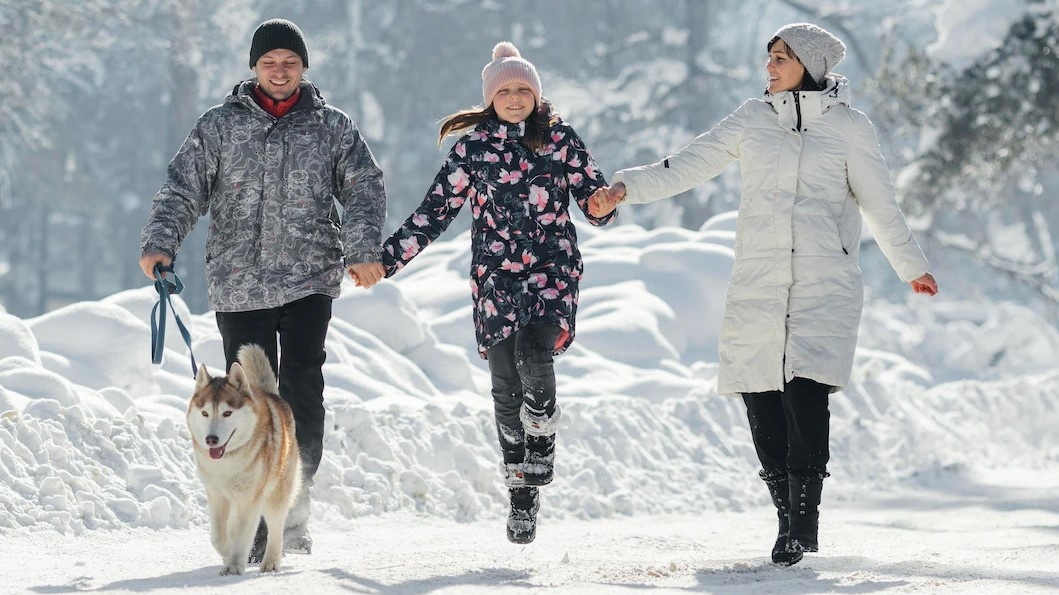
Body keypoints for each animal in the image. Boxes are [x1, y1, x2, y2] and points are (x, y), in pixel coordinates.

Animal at [186, 343, 300, 575]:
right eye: (205, 413)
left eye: (227, 413)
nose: (211, 439)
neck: (227, 463)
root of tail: (271, 395)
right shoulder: (216, 495)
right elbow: (218, 537)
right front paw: (228, 555)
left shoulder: (250, 499)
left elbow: (242, 534)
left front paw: (234, 565)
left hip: (275, 495)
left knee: (276, 527)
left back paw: (270, 562)